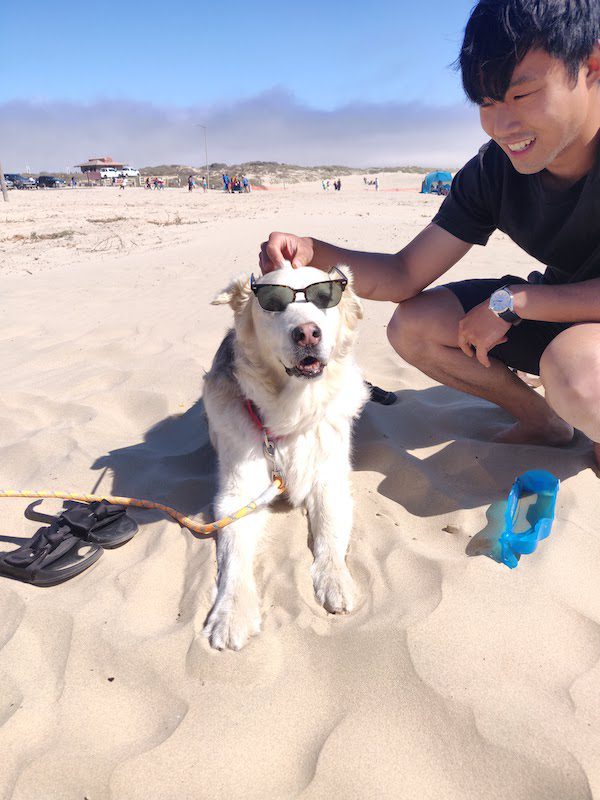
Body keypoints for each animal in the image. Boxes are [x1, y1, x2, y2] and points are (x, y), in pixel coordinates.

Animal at [204, 262, 368, 648]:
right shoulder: (238, 495)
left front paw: (336, 581)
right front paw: (232, 613)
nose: (308, 333)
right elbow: (234, 557)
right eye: (273, 303)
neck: (294, 409)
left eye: (325, 297)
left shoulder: (330, 480)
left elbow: (330, 533)